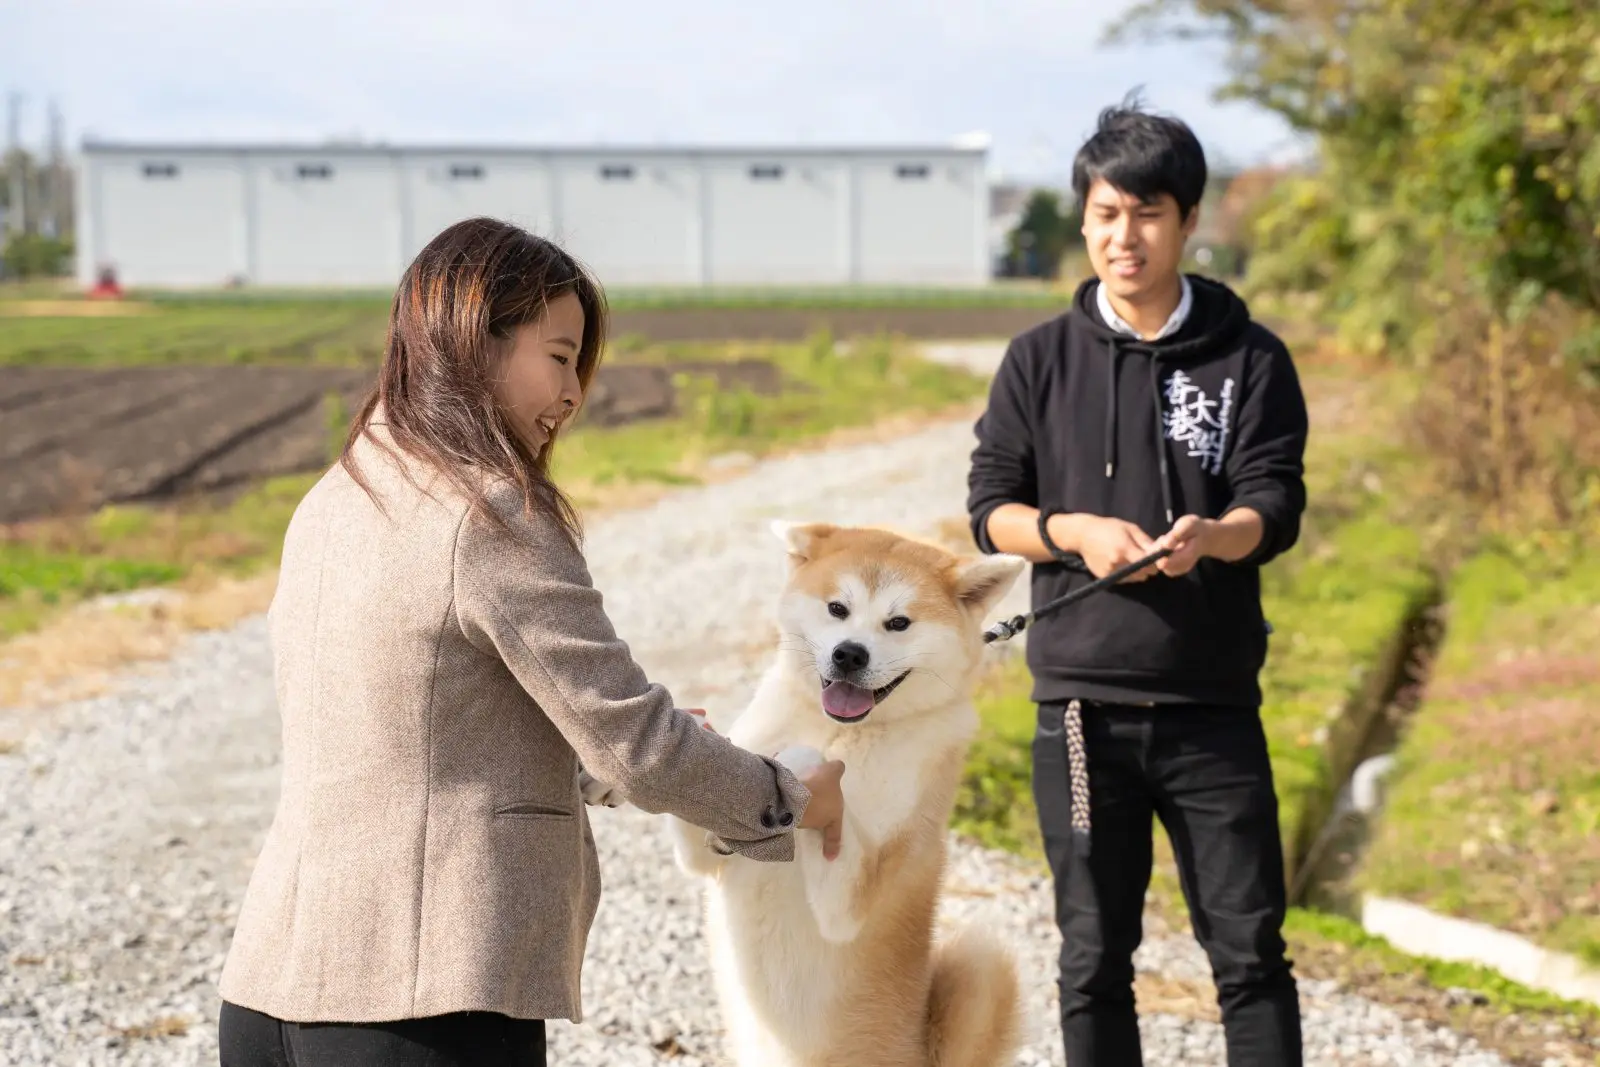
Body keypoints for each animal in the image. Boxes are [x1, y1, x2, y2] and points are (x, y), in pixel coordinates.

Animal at [662, 520, 1029, 1067]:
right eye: (838, 608)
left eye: (899, 622)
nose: (850, 653)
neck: (838, 730)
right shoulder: (706, 862)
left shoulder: (853, 901)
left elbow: (807, 765)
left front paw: (796, 773)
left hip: (982, 969)